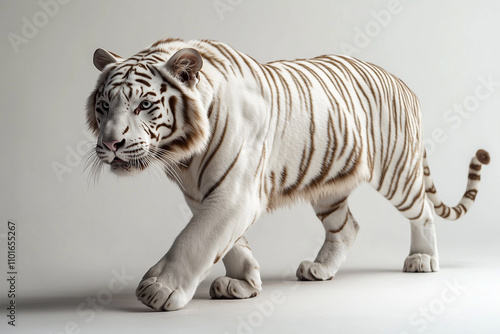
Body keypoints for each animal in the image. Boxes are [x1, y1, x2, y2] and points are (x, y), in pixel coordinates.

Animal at [85, 37, 488, 310]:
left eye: (144, 105)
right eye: (104, 106)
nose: (112, 143)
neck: (184, 156)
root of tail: (405, 85)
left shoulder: (235, 193)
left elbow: (195, 240)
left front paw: (160, 289)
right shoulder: (202, 195)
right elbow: (227, 242)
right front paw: (243, 283)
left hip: (397, 171)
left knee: (423, 211)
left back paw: (423, 260)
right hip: (329, 186)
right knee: (348, 226)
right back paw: (320, 269)